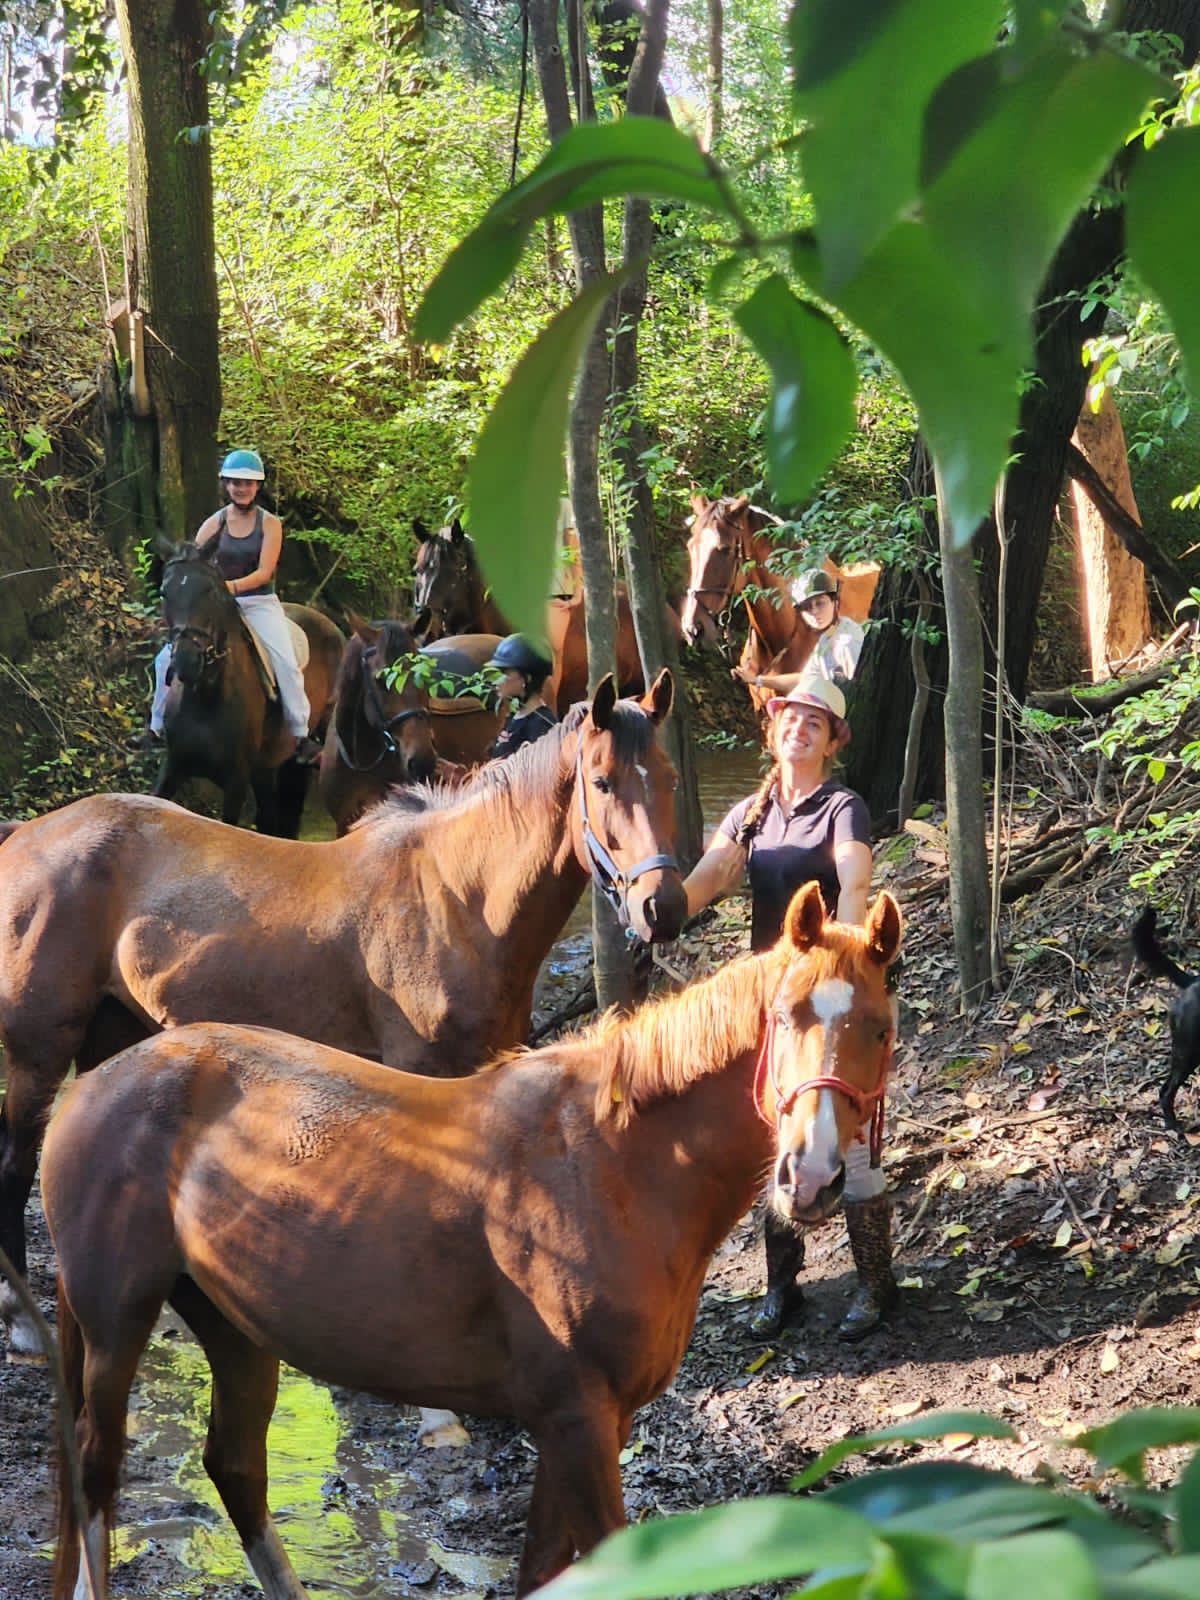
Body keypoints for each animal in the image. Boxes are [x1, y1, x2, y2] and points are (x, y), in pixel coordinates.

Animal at [0, 673, 684, 1359]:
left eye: (670, 776)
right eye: (601, 782)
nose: (663, 908)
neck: (457, 900)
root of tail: (24, 835)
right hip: (38, 1053)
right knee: (15, 1164)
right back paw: (22, 1323)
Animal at [42, 881, 902, 1600]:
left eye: (882, 1029)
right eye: (785, 1016)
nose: (812, 1175)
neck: (612, 1165)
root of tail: (95, 1085)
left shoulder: (584, 1425)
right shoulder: (577, 1422)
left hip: (236, 1326)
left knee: (235, 1467)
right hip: (115, 1326)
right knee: (97, 1473)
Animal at [153, 543, 345, 835]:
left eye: (211, 591)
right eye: (165, 592)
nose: (187, 661)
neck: (206, 696)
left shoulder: (236, 782)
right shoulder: (173, 767)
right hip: (267, 767)